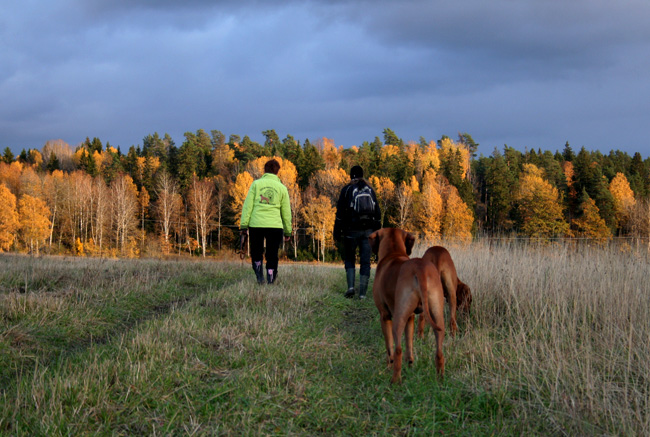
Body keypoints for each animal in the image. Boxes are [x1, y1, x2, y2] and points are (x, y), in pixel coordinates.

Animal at [370, 228, 446, 382]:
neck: (393, 253)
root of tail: (420, 269)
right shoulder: (410, 317)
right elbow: (409, 346)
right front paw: (410, 365)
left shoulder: (384, 316)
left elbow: (389, 347)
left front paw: (388, 366)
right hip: (436, 314)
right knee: (439, 350)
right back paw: (440, 378)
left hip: (398, 318)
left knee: (397, 349)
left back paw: (395, 380)